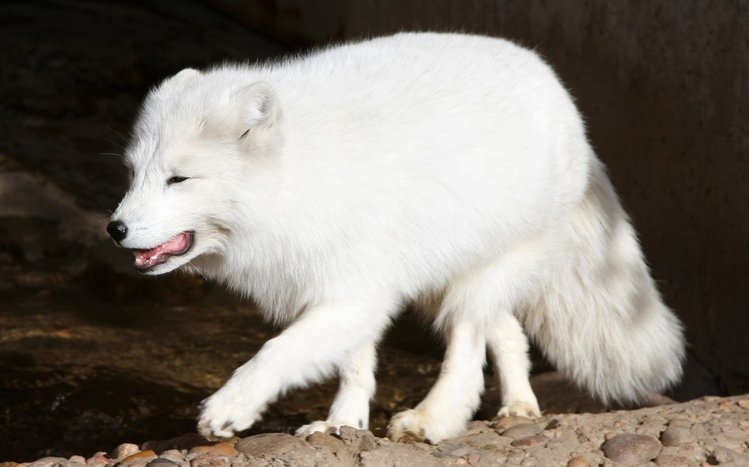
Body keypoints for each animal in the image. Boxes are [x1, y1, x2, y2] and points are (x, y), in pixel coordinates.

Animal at [107, 32, 685, 443]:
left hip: (475, 281)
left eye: (178, 179)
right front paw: (343, 425)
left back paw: (433, 420)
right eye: (133, 174)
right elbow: (355, 367)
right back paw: (520, 406)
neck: (300, 177)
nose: (115, 229)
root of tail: (560, 94)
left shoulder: (356, 292)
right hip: (448, 273)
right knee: (509, 334)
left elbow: (277, 352)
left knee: (467, 351)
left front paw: (230, 409)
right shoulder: (353, 289)